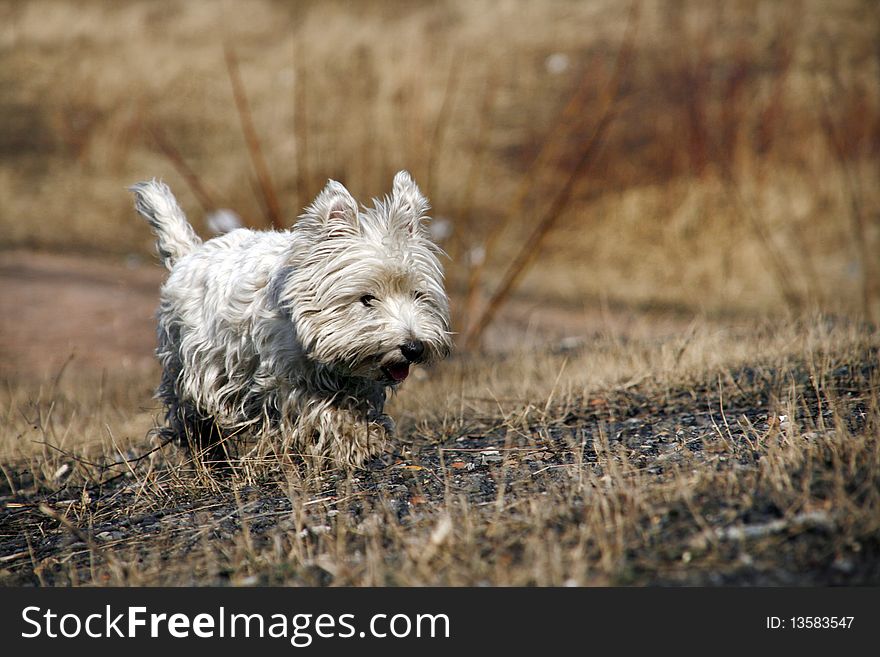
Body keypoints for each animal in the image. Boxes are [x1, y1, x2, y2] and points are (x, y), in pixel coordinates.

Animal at [131, 169, 454, 466]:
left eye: (417, 294)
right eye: (366, 299)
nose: (413, 347)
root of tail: (189, 254)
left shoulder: (359, 380)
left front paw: (369, 432)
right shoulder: (284, 381)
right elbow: (321, 409)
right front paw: (358, 438)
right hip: (190, 366)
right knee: (190, 415)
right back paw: (209, 455)